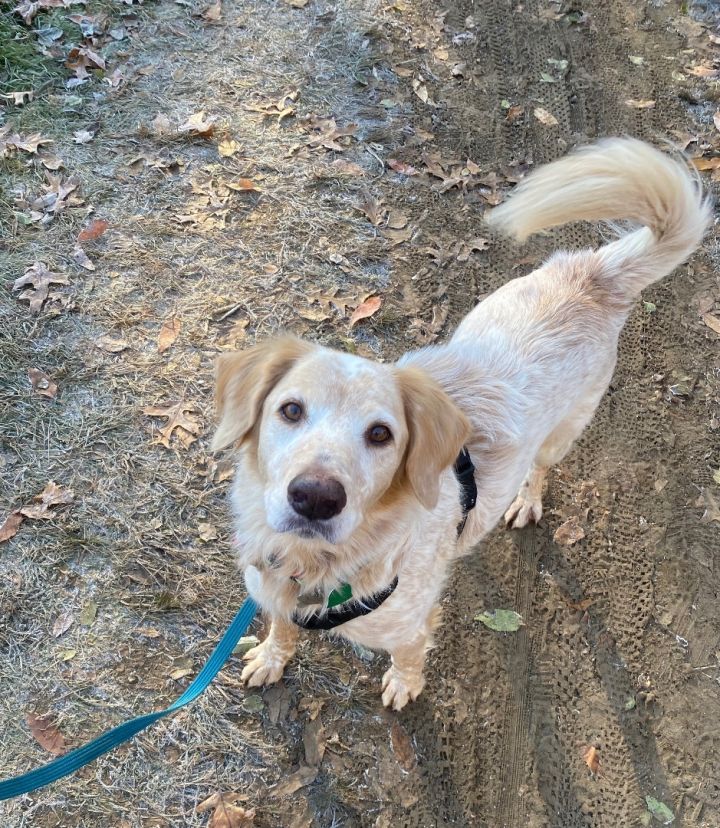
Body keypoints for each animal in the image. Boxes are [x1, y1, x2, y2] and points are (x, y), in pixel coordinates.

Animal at [210, 139, 708, 708]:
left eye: (381, 434)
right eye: (290, 410)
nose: (315, 498)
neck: (316, 565)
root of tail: (592, 274)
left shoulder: (410, 623)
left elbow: (407, 657)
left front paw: (404, 686)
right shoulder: (273, 594)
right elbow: (282, 627)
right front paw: (273, 658)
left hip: (562, 434)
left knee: (540, 470)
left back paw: (525, 501)